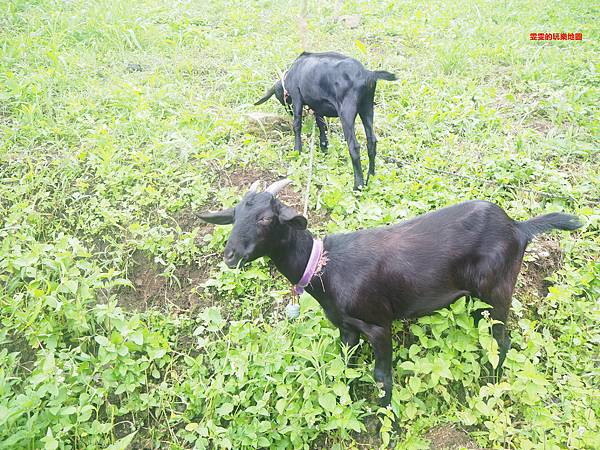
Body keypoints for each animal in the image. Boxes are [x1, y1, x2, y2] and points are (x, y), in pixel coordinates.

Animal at [200, 179, 580, 404]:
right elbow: (343, 365)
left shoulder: (378, 325)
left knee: (502, 338)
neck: (325, 266)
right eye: (234, 215)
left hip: (498, 289)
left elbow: (382, 377)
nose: (230, 255)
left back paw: (495, 381)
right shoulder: (346, 327)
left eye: (266, 219)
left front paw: (386, 419)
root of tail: (518, 228)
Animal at [255, 51, 396, 191]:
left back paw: (358, 185)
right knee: (371, 141)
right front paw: (324, 147)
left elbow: (297, 125)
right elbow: (321, 123)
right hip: (367, 107)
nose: (288, 111)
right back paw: (370, 177)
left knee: (354, 146)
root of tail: (367, 74)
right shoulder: (318, 105)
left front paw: (297, 150)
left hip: (346, 112)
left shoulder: (296, 97)